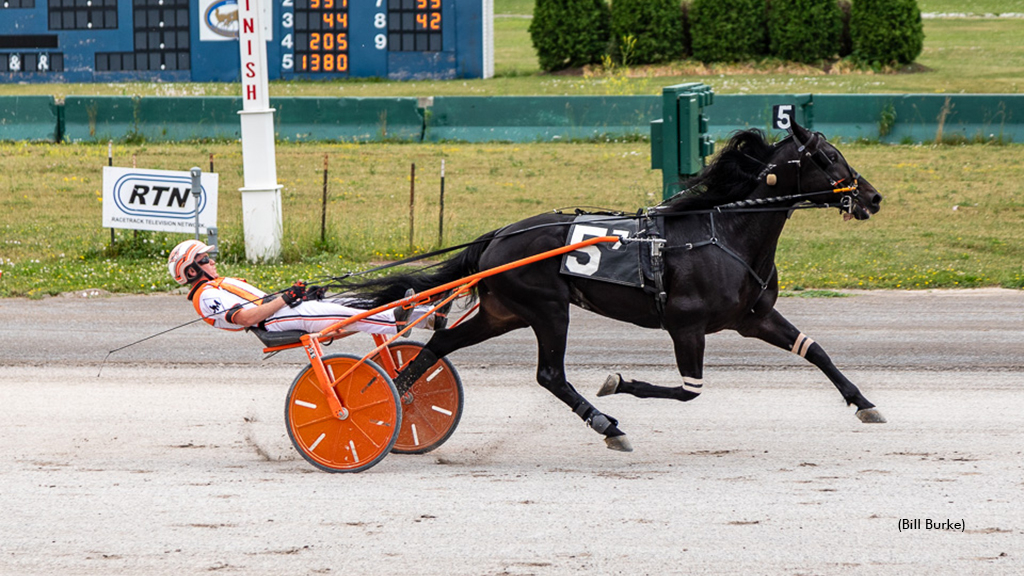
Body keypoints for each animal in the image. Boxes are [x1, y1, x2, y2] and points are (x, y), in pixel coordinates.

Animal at [348, 120, 884, 450]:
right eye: (828, 156)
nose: (873, 197)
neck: (725, 232)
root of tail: (498, 237)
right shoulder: (686, 326)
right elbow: (688, 392)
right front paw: (617, 382)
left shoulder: (752, 318)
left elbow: (816, 351)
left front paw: (864, 404)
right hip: (548, 309)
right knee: (550, 375)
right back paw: (606, 425)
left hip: (504, 313)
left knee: (439, 345)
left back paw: (390, 400)